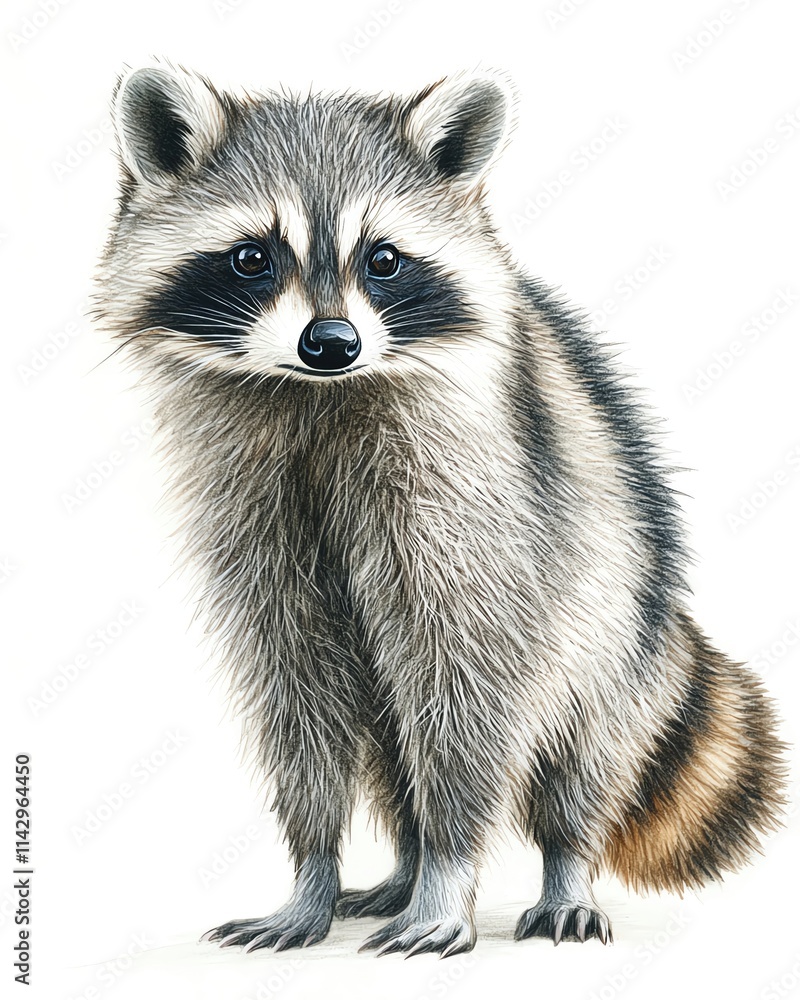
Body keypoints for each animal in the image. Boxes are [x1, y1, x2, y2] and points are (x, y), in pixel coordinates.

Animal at [95, 62, 785, 957]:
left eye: (383, 259)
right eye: (251, 257)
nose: (331, 342)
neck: (320, 396)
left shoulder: (477, 509)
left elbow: (471, 691)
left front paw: (449, 877)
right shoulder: (251, 512)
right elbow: (294, 688)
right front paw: (312, 874)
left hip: (607, 622)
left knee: (575, 756)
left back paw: (558, 863)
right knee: (393, 751)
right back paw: (402, 868)